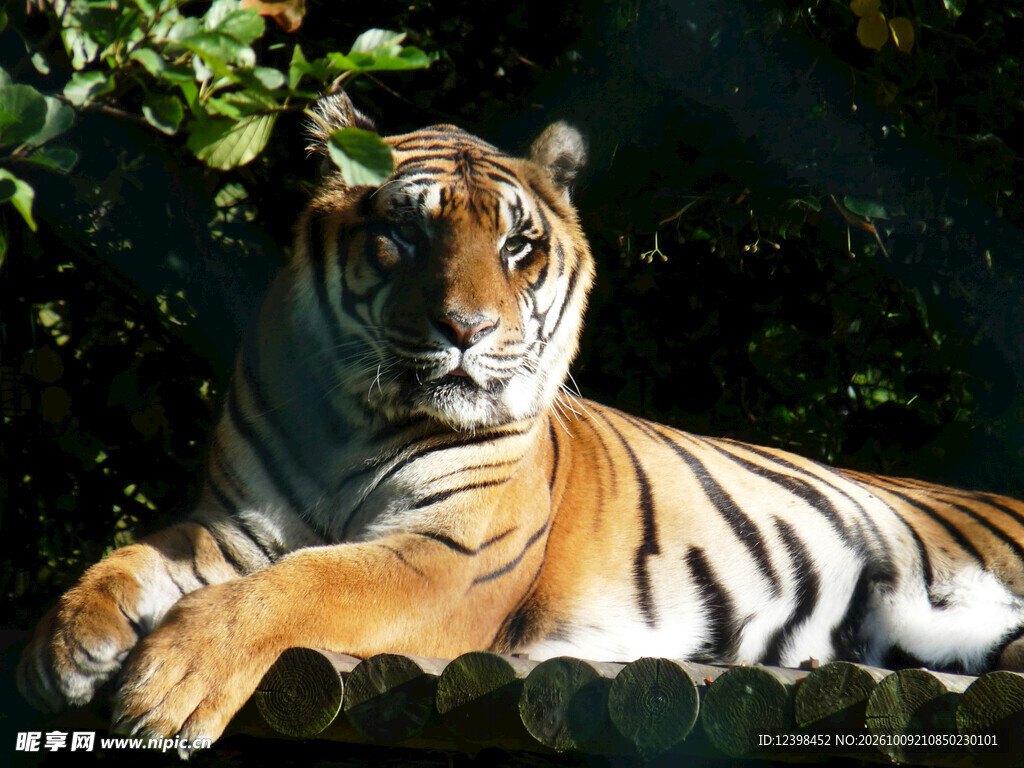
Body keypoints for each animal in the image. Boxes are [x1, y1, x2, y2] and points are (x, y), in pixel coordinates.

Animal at [17, 92, 1024, 754]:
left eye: (518, 245)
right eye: (404, 236)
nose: (467, 331)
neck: (351, 418)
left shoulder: (447, 556)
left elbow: (302, 583)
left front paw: (170, 686)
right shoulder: (233, 525)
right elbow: (134, 557)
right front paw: (65, 643)